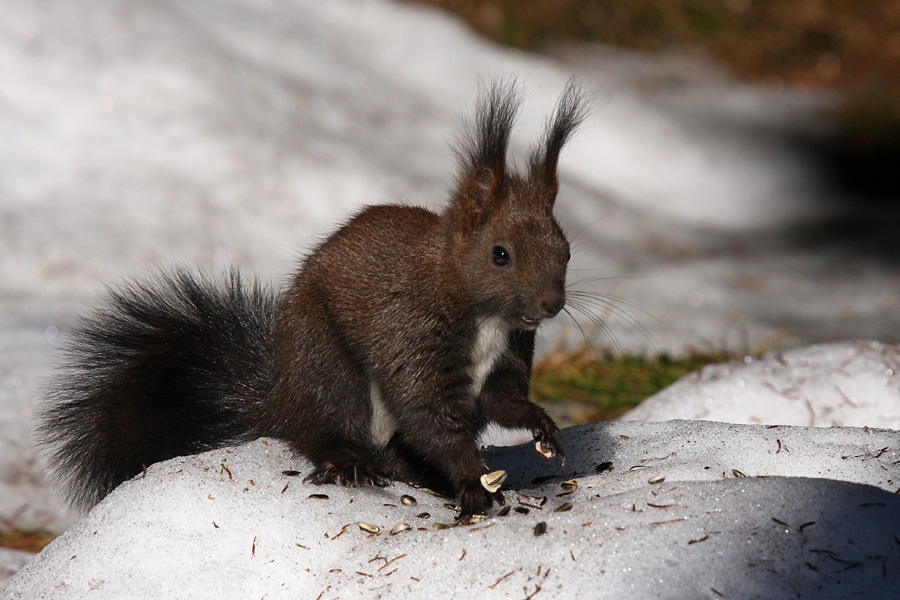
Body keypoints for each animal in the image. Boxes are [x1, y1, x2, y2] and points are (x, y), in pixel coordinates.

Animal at [40, 79, 592, 520]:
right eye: (500, 254)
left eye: (566, 250)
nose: (551, 304)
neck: (483, 315)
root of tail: (281, 397)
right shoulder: (410, 336)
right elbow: (429, 418)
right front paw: (475, 481)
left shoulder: (506, 356)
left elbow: (503, 400)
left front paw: (542, 426)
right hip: (330, 373)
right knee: (331, 437)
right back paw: (351, 465)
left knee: (400, 453)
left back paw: (424, 478)